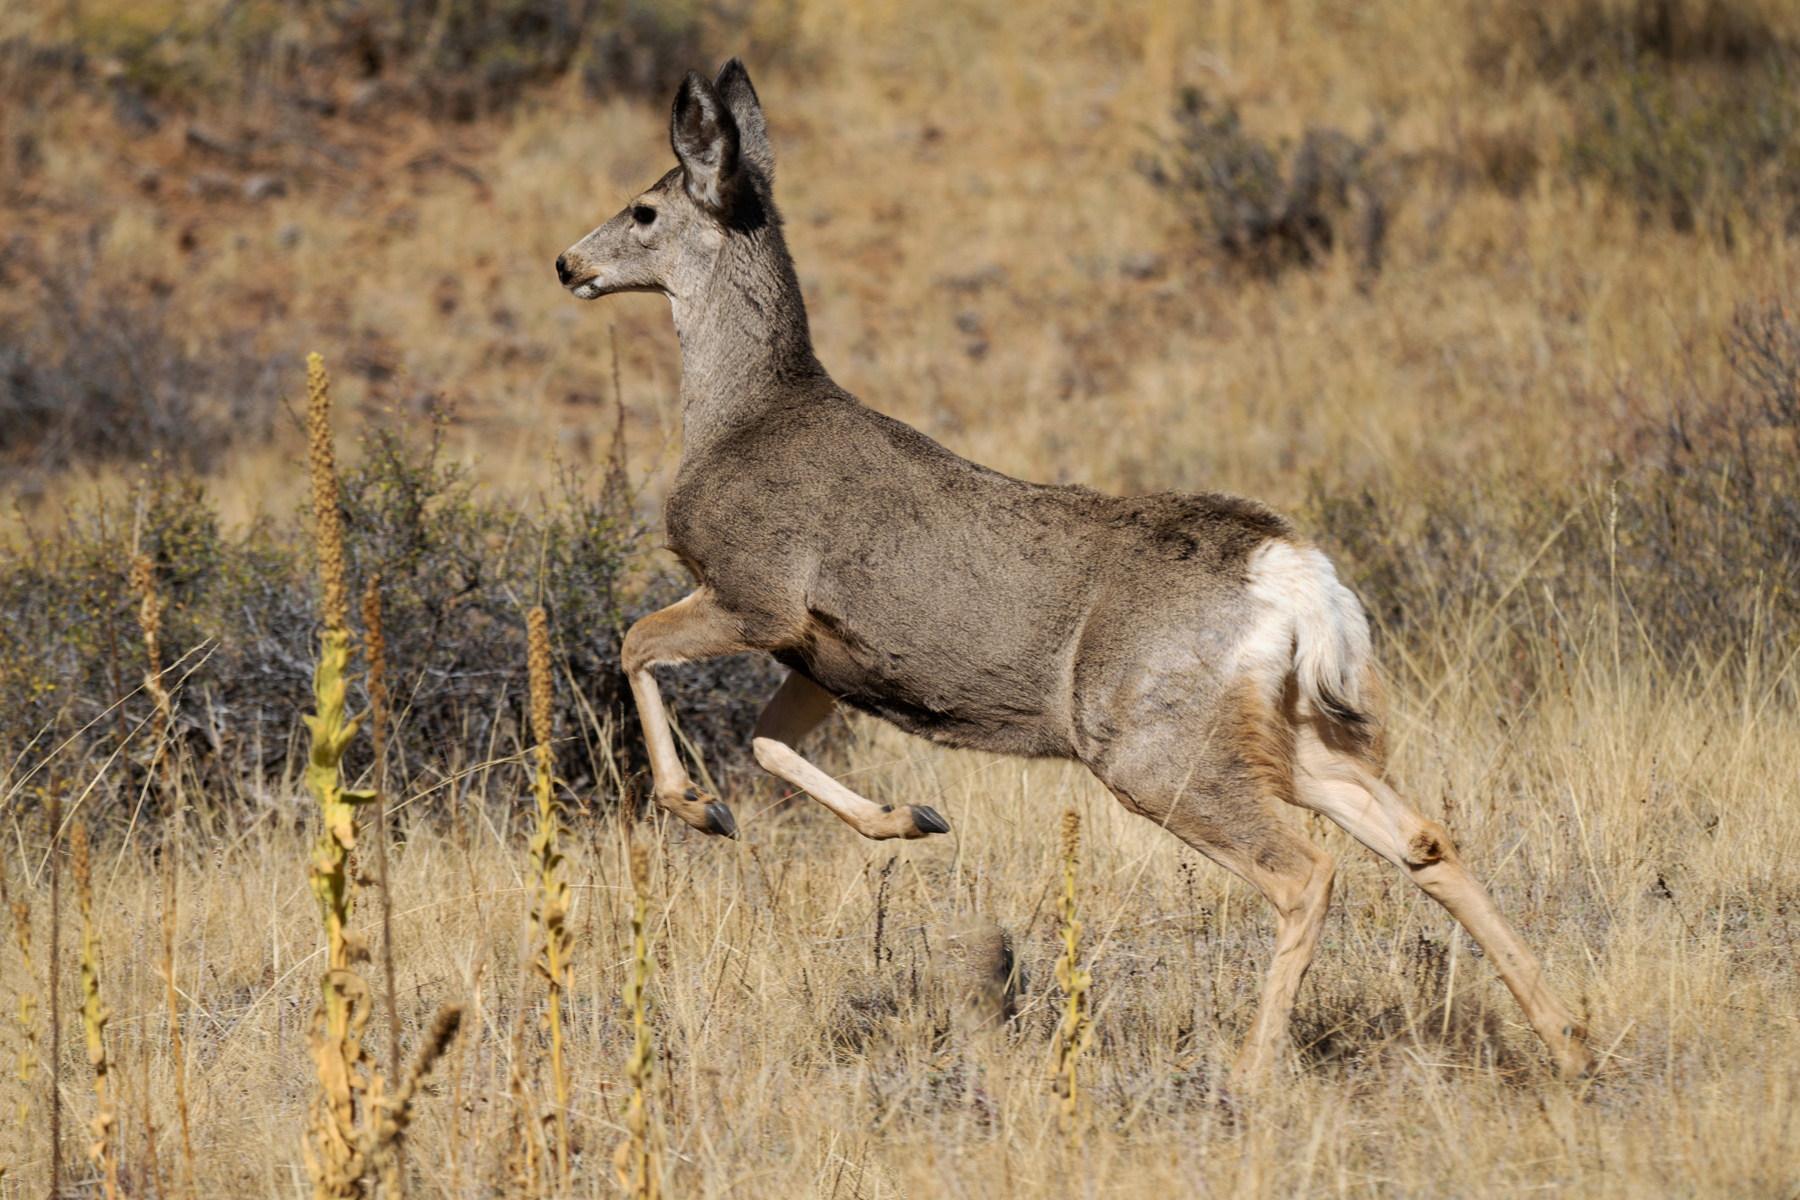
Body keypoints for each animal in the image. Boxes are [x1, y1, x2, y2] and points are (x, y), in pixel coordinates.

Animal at [554, 61, 1598, 1086]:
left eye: (645, 209)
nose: (569, 263)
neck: (741, 414)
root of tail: (1297, 576)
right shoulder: (827, 657)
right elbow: (770, 743)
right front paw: (910, 817)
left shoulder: (757, 592)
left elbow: (636, 644)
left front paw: (698, 808)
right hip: (1288, 731)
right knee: (1427, 842)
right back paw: (1569, 1040)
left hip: (1151, 743)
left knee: (1308, 872)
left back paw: (1252, 1073)